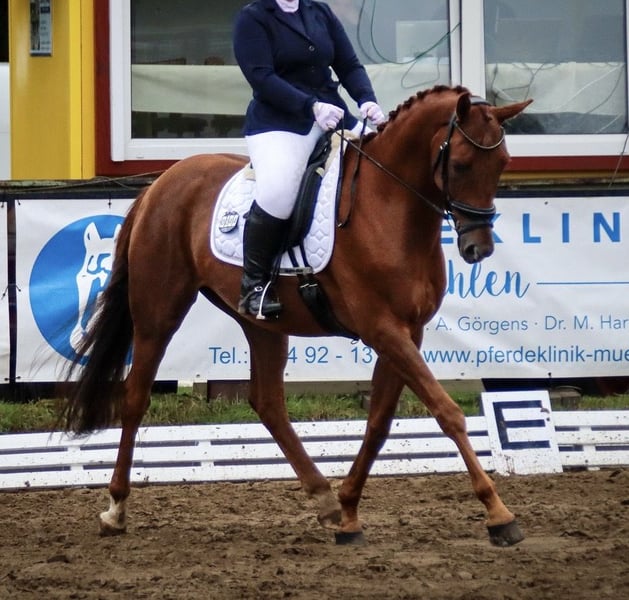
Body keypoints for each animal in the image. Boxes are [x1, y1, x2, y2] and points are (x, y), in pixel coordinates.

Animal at [63, 85, 531, 547]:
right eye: (461, 164)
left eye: (503, 163)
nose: (478, 248)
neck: (389, 208)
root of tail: (163, 181)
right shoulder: (383, 329)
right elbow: (446, 412)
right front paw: (499, 514)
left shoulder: (406, 332)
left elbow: (379, 423)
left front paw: (348, 511)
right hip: (158, 312)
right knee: (136, 398)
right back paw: (116, 509)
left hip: (262, 324)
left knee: (267, 401)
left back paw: (324, 500)